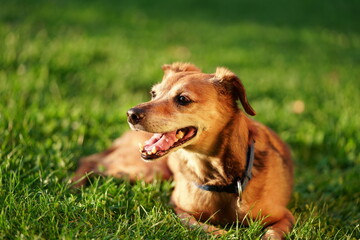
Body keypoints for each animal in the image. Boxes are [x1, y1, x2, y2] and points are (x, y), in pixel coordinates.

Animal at [71, 62, 294, 239]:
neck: (218, 178)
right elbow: (199, 225)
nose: (130, 114)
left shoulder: (285, 216)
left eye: (183, 99)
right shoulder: (179, 208)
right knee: (90, 161)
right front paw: (222, 233)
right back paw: (73, 185)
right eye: (153, 93)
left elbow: (272, 234)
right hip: (146, 171)